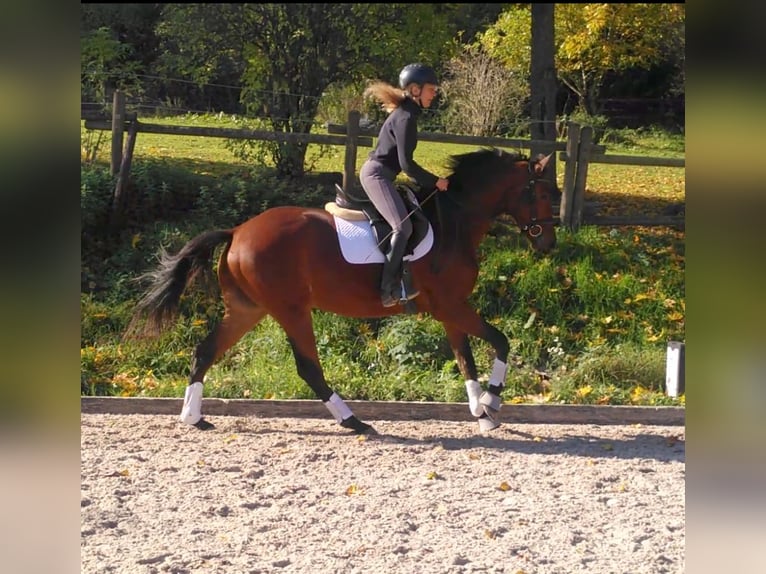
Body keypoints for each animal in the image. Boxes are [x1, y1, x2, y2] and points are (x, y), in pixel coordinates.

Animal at [127, 148, 560, 436]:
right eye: (542, 194)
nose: (548, 243)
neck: (455, 219)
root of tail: (237, 232)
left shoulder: (449, 309)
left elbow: (465, 358)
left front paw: (481, 413)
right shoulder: (453, 306)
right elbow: (500, 342)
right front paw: (492, 401)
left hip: (248, 309)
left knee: (205, 351)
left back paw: (193, 417)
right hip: (291, 309)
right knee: (308, 367)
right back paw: (354, 420)